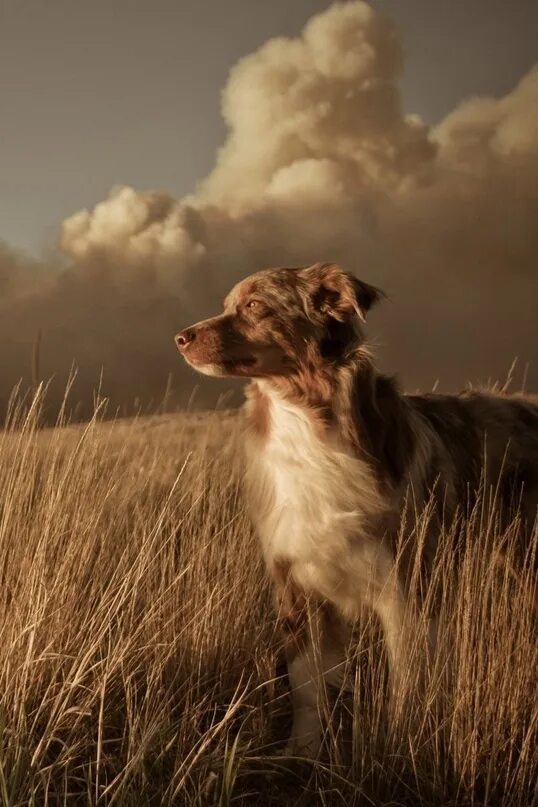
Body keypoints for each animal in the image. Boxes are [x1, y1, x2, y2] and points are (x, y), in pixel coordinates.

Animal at [176, 264, 536, 756]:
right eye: (228, 304)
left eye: (254, 305)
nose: (180, 337)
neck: (305, 421)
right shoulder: (296, 588)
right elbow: (308, 688)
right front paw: (300, 754)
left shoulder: (407, 589)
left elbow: (409, 684)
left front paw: (400, 747)